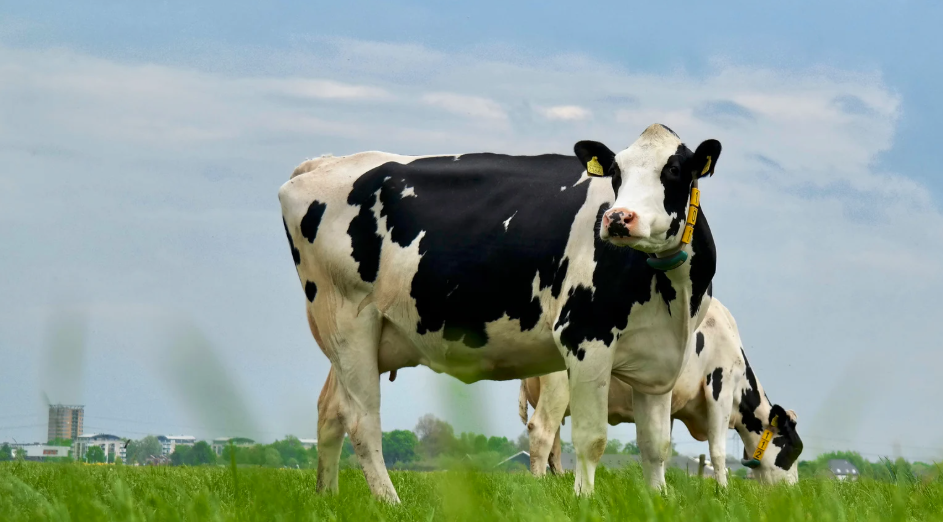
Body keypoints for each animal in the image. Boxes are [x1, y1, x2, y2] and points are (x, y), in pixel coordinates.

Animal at [279, 123, 726, 502]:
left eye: (674, 170)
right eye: (616, 171)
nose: (618, 218)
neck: (672, 294)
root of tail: (323, 163)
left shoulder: (659, 359)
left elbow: (655, 446)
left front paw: (657, 500)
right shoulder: (584, 335)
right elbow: (591, 437)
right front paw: (584, 501)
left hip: (353, 338)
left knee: (330, 411)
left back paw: (327, 496)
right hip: (348, 321)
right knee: (362, 419)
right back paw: (390, 501)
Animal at [519, 297, 803, 486]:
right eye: (793, 449)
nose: (793, 491)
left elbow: (660, 446)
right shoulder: (719, 389)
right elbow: (718, 451)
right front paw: (723, 491)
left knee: (554, 444)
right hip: (559, 388)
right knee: (542, 431)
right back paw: (539, 485)